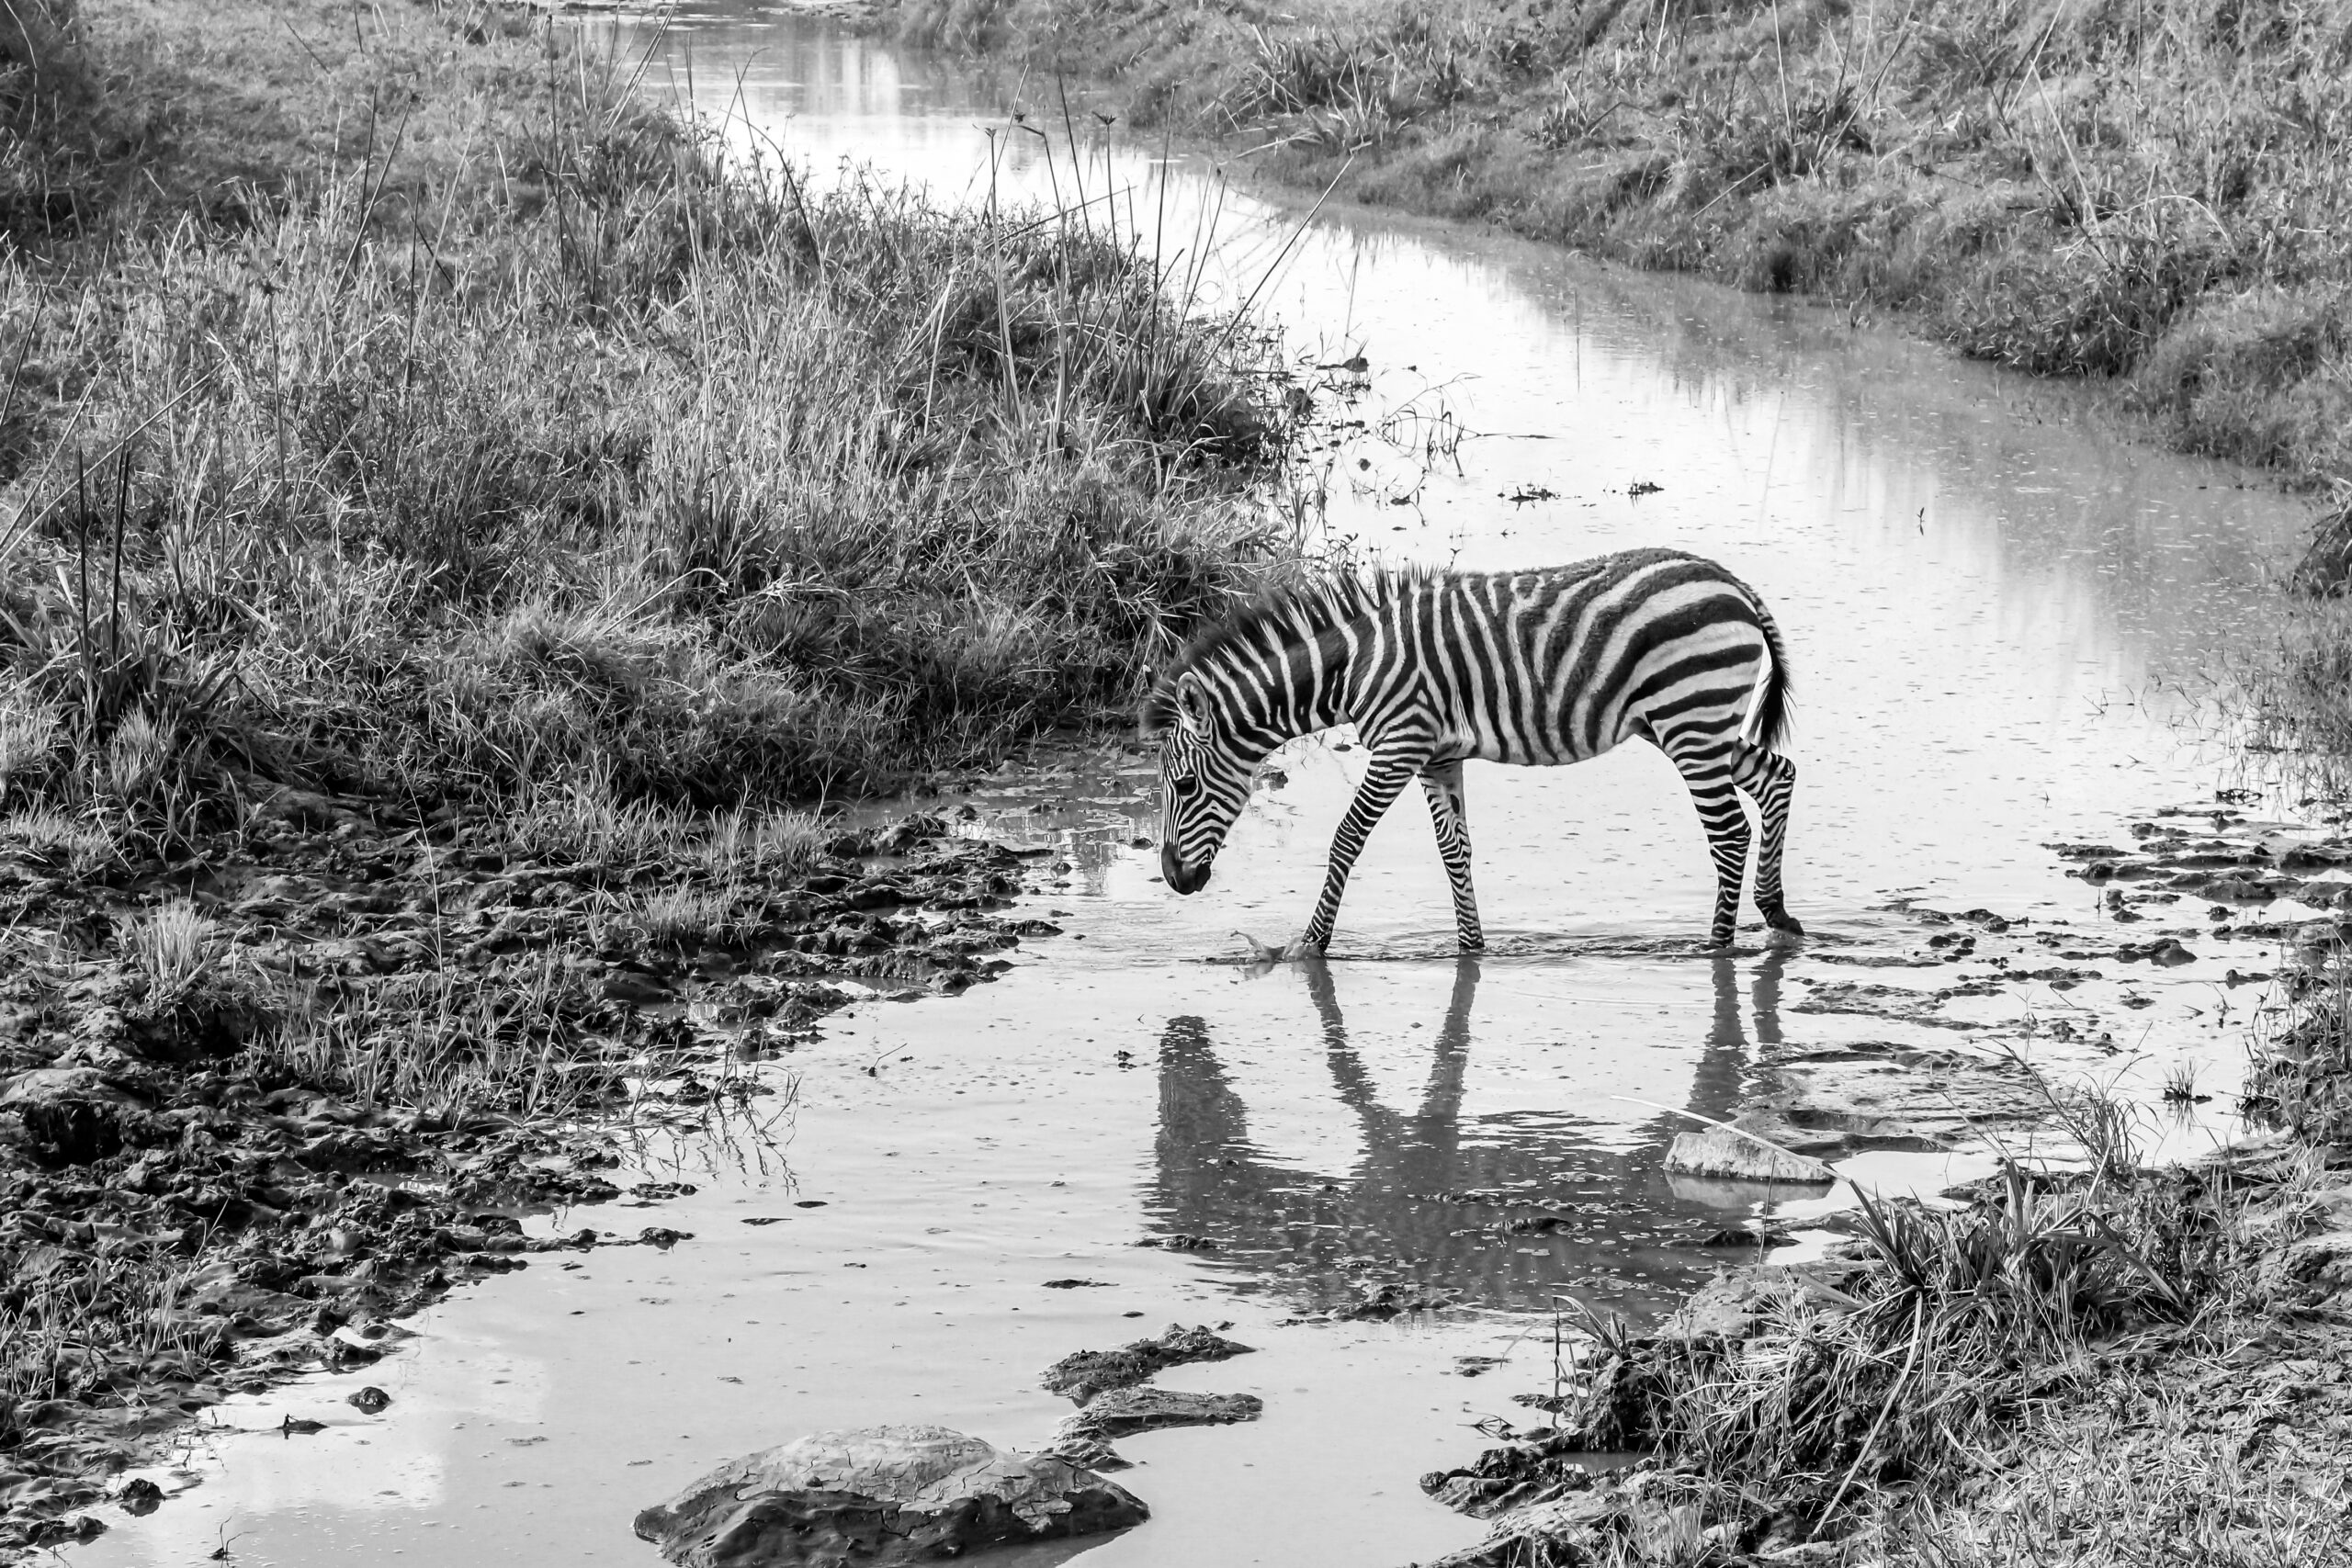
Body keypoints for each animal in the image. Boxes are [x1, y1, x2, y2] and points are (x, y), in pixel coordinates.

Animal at [1148, 557, 1806, 964]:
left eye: (1184, 787)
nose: (1176, 880)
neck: (1353, 667)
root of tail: (1733, 583)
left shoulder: (1399, 743)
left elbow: (1346, 840)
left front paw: (1306, 946)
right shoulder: (1435, 758)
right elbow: (1454, 853)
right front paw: (1472, 949)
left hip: (1688, 717)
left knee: (1728, 832)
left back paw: (1716, 948)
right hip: (1690, 724)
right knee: (1778, 775)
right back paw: (1776, 913)